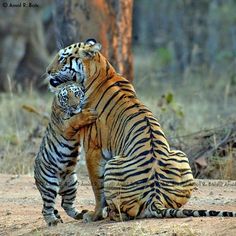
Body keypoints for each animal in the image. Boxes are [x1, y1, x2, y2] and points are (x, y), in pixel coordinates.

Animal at [34, 82, 97, 226]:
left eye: (77, 94)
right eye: (66, 97)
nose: (75, 106)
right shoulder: (66, 125)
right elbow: (76, 119)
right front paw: (87, 114)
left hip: (71, 183)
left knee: (66, 204)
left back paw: (80, 214)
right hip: (49, 185)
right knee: (46, 208)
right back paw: (53, 221)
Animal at [46, 39, 236, 221]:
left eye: (62, 58)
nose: (48, 71)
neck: (104, 71)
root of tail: (155, 199)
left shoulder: (93, 149)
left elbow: (97, 187)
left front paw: (94, 215)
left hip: (113, 164)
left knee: (124, 212)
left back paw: (110, 214)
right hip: (180, 156)